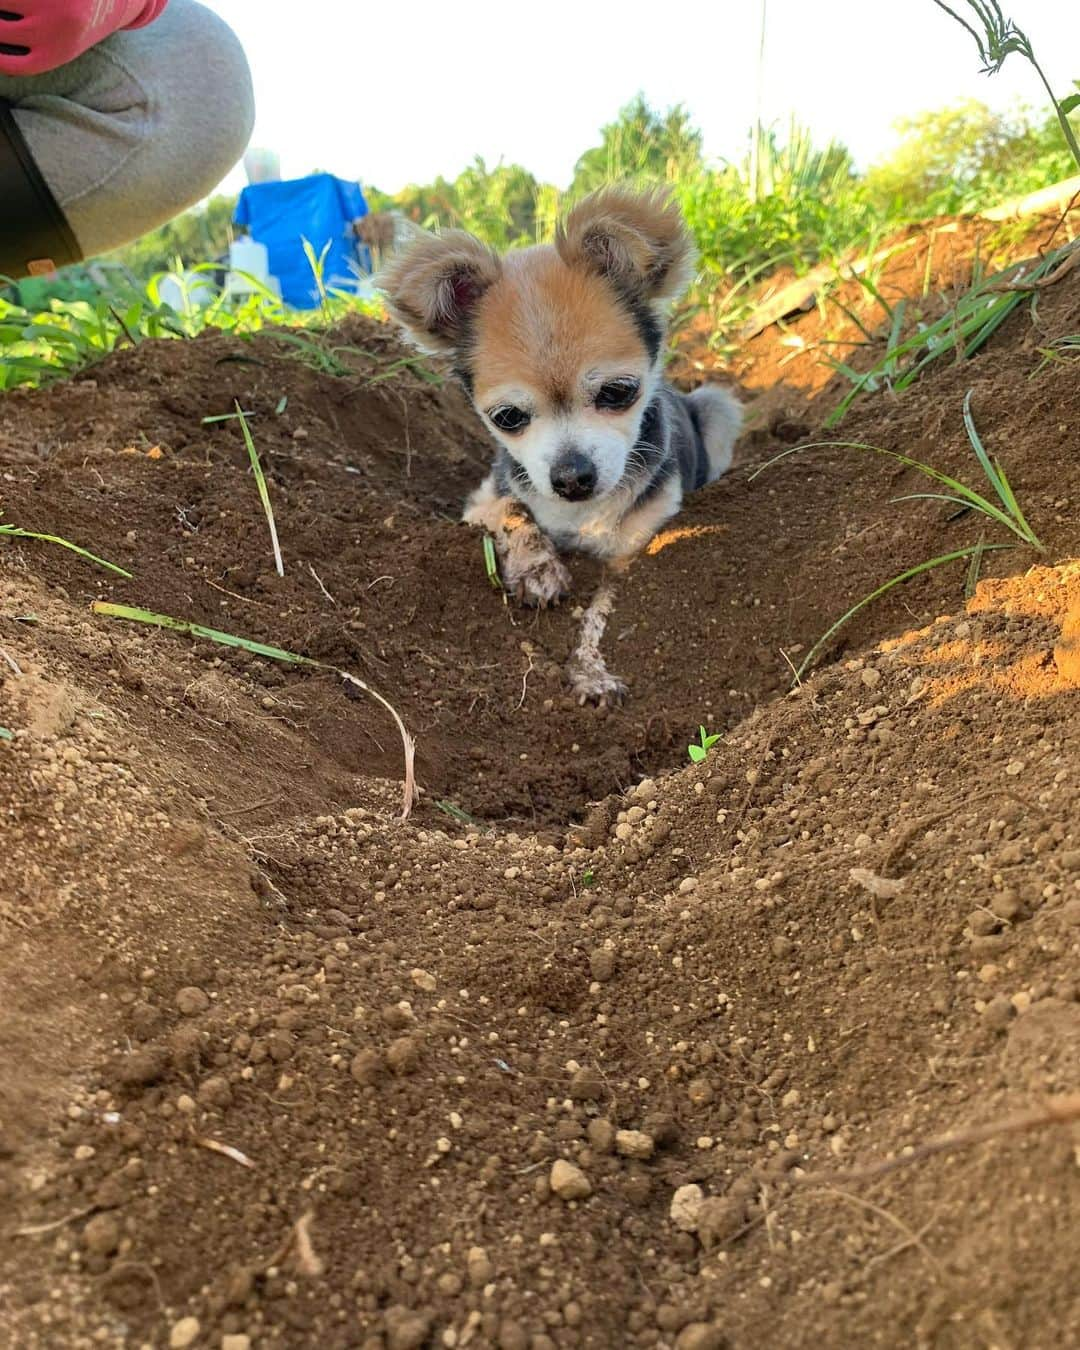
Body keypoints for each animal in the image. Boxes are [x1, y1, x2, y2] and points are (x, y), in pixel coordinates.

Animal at [380, 190, 745, 707]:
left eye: (617, 392)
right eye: (507, 417)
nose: (572, 477)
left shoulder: (627, 556)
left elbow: (597, 615)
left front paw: (591, 671)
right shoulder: (480, 502)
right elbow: (514, 508)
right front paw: (537, 567)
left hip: (717, 405)